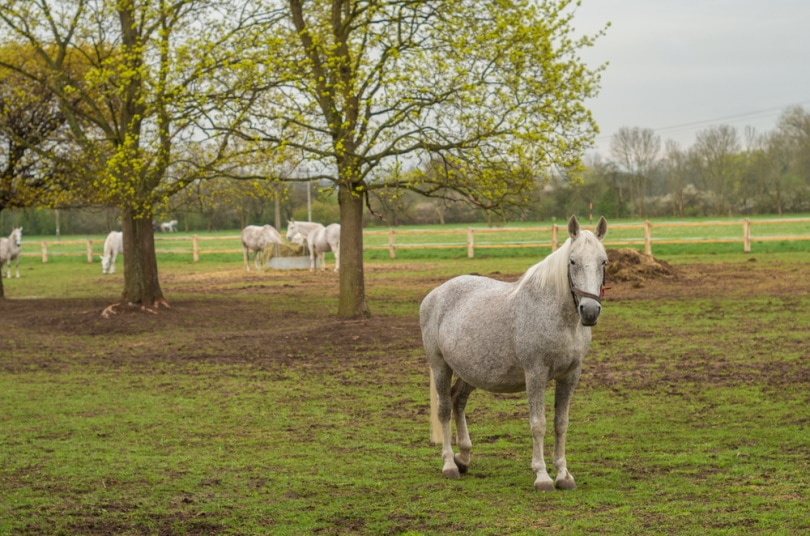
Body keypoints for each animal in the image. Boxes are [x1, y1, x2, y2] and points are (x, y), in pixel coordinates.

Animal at [420, 216, 604, 492]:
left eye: (604, 261)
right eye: (572, 261)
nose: (589, 311)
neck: (556, 316)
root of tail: (434, 294)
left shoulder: (570, 375)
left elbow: (561, 424)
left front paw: (563, 475)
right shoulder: (535, 374)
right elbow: (538, 425)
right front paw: (542, 476)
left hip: (470, 371)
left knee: (458, 401)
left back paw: (464, 457)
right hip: (440, 366)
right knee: (444, 409)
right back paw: (450, 464)